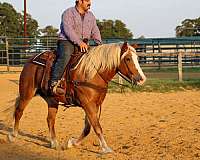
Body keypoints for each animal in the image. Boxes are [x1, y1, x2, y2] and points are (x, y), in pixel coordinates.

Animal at [7, 42, 146, 154]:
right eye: (127, 58)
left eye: (137, 58)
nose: (142, 79)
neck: (93, 73)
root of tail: (30, 60)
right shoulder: (88, 104)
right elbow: (97, 127)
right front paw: (106, 148)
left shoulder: (94, 105)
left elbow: (88, 128)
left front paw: (71, 143)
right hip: (27, 93)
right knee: (19, 111)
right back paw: (13, 135)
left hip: (52, 100)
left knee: (50, 120)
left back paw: (54, 143)